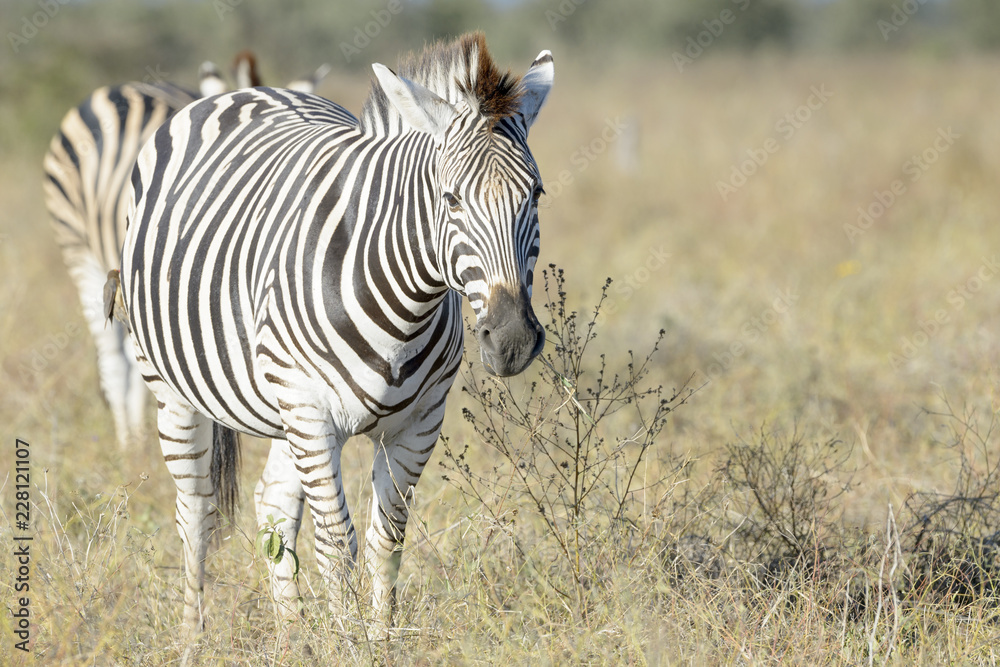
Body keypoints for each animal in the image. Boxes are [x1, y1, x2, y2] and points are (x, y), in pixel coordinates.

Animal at [114, 32, 553, 631]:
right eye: (451, 199)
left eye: (537, 194)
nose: (512, 342)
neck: (405, 304)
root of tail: (246, 91)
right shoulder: (312, 413)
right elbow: (336, 545)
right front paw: (345, 641)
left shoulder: (417, 423)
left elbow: (386, 541)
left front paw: (382, 639)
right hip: (178, 392)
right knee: (195, 516)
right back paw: (192, 637)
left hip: (282, 410)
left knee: (273, 503)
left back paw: (292, 636)